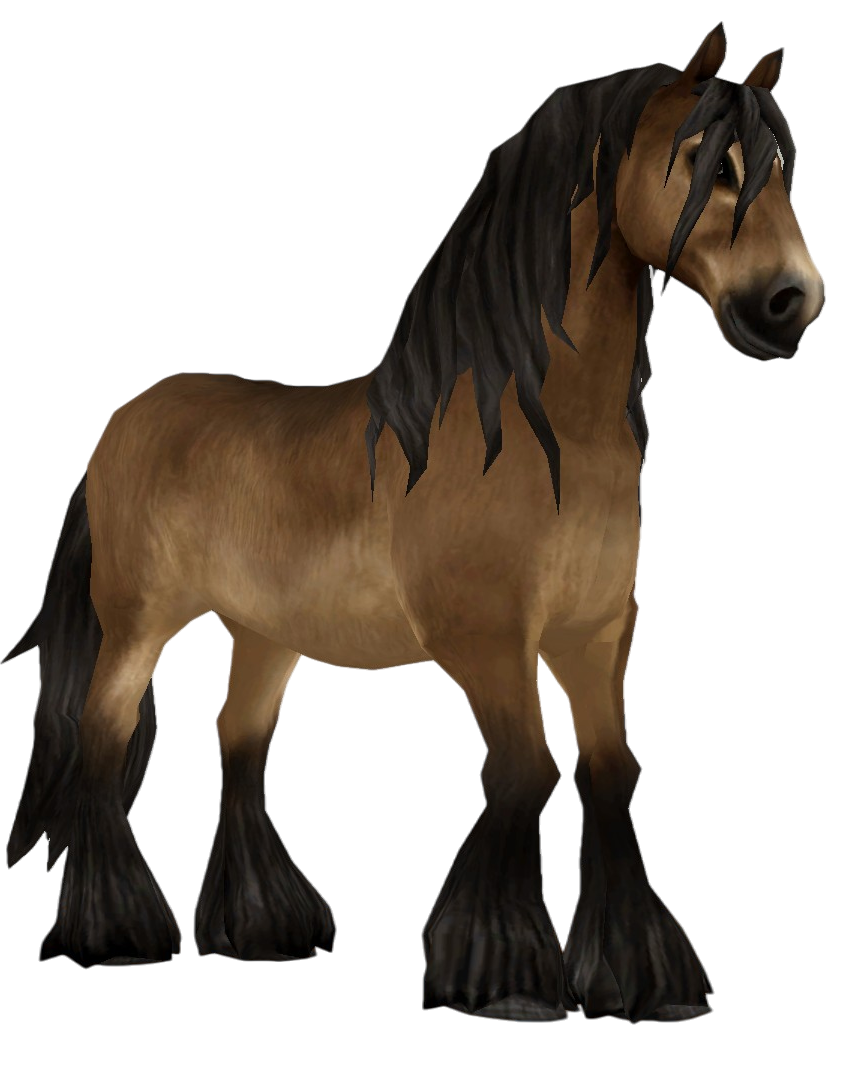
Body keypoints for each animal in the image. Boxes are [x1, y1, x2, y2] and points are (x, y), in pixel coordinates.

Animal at [5, 25, 823, 1021]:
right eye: (708, 163)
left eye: (779, 170)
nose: (791, 300)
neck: (540, 431)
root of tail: (125, 422)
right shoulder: (487, 640)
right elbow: (525, 770)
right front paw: (501, 972)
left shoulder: (595, 635)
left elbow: (610, 772)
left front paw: (644, 976)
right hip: (138, 623)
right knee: (102, 739)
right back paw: (117, 931)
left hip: (266, 633)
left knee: (240, 743)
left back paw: (264, 928)